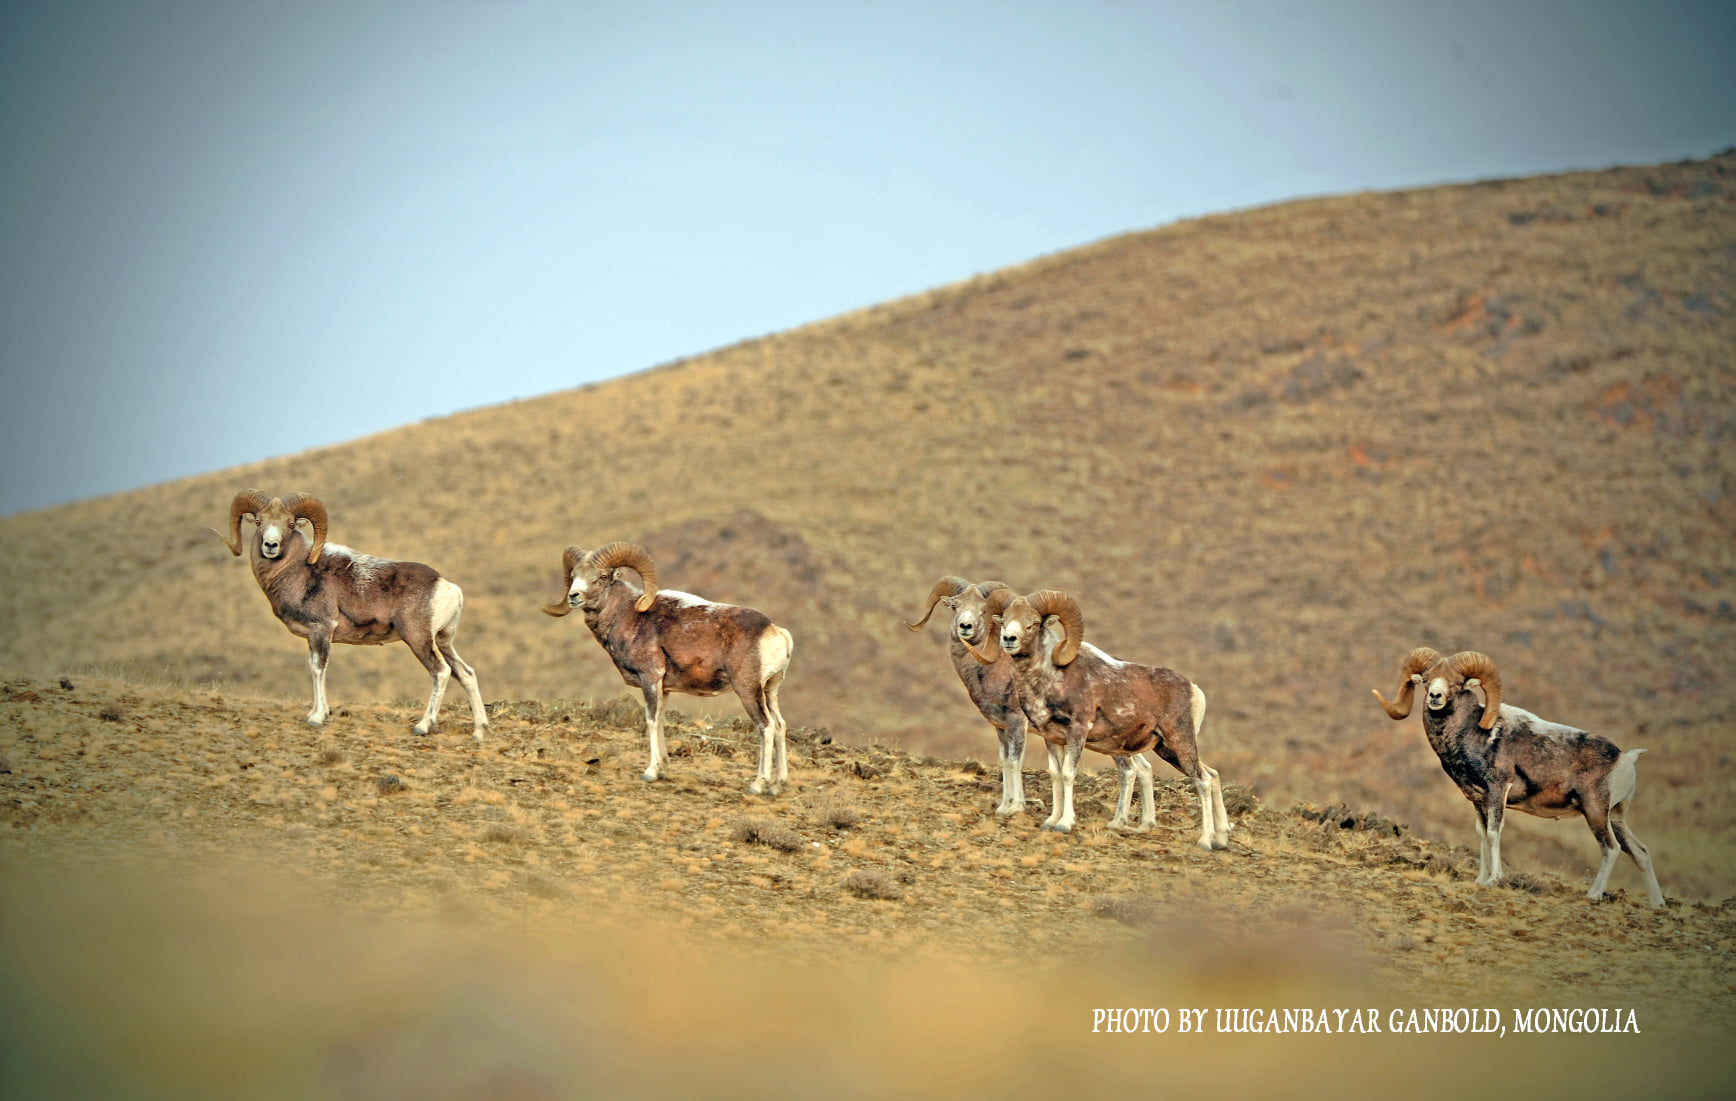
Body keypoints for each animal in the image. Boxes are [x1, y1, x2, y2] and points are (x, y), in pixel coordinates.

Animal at [211, 490, 488, 741]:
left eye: (289, 524)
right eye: (259, 521)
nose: (270, 545)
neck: (297, 572)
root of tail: (449, 589)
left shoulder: (322, 630)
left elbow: (319, 668)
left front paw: (317, 718)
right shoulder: (312, 637)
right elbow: (313, 667)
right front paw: (315, 713)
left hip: (419, 639)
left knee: (441, 672)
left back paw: (422, 726)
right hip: (442, 642)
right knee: (466, 674)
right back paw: (478, 732)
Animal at [541, 541, 794, 795]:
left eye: (602, 576)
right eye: (573, 575)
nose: (574, 596)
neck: (629, 618)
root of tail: (777, 632)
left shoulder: (650, 678)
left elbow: (651, 720)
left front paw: (651, 772)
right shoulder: (664, 688)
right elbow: (661, 720)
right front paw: (663, 768)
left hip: (748, 689)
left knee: (766, 727)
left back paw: (758, 785)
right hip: (769, 690)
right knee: (780, 725)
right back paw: (778, 785)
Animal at [905, 576, 1029, 815]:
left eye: (983, 610)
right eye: (955, 606)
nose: (965, 626)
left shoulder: (1017, 723)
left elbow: (1015, 761)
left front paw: (1016, 808)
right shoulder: (1001, 727)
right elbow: (1005, 762)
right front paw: (1003, 807)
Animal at [965, 589, 1230, 844]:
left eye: (1034, 622)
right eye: (1004, 620)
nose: (1009, 639)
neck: (1050, 680)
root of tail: (1194, 691)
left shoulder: (1077, 732)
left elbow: (1068, 774)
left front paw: (1064, 824)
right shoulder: (1052, 739)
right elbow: (1055, 775)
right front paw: (1051, 821)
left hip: (1179, 743)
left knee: (1203, 781)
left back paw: (1206, 841)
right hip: (1166, 749)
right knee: (1211, 775)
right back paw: (1221, 838)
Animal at [1373, 647, 1664, 906]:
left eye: (1456, 683)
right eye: (1426, 680)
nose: (1435, 696)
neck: (1472, 735)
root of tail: (1626, 759)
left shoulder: (1497, 792)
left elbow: (1493, 834)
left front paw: (1494, 880)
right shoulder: (1478, 802)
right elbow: (1481, 835)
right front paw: (1480, 880)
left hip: (1595, 811)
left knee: (1611, 848)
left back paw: (1593, 896)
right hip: (1615, 816)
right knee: (1640, 851)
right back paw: (1657, 904)